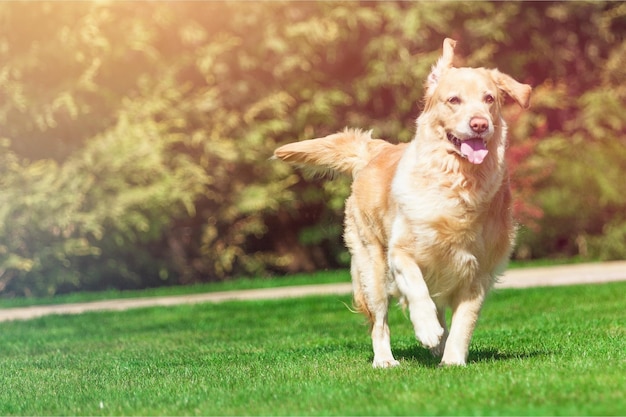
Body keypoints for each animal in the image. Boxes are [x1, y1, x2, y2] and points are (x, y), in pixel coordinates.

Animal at [270, 37, 528, 366]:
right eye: (453, 100)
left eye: (489, 99)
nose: (480, 124)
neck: (457, 183)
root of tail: (374, 149)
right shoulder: (400, 253)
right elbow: (416, 288)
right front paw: (427, 328)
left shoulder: (479, 271)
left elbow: (464, 322)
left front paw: (453, 359)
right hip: (372, 269)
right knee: (379, 322)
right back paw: (386, 359)